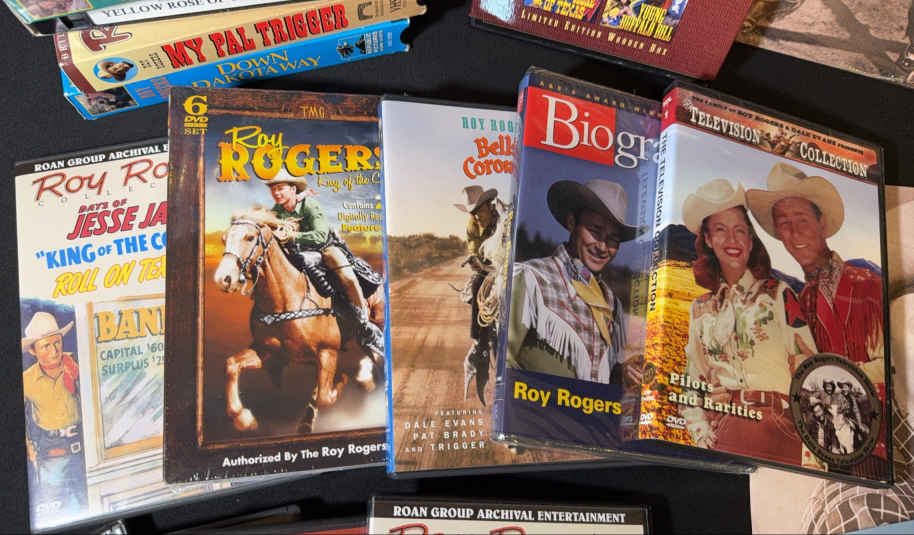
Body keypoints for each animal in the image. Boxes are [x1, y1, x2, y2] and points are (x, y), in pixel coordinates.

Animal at [212, 207, 384, 433]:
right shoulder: (266, 350)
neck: (287, 300)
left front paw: (338, 383)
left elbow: (324, 396)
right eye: (224, 238)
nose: (223, 279)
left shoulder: (327, 351)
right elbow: (231, 364)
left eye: (250, 237)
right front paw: (243, 418)